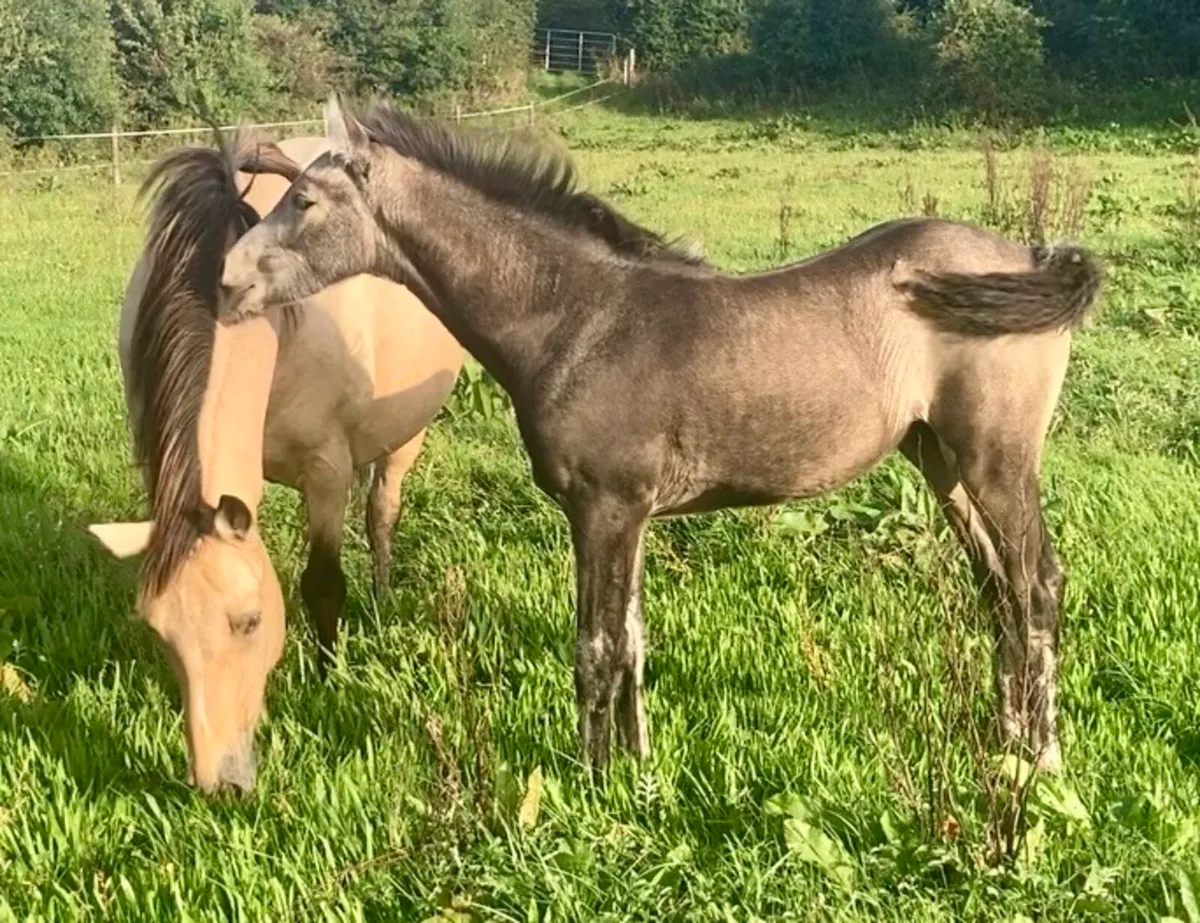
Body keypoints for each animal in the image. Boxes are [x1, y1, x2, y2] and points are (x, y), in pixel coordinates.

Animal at [87, 131, 464, 794]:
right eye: (159, 630)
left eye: (250, 621)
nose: (221, 783)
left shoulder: (327, 471)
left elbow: (322, 583)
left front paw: (327, 677)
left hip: (408, 433)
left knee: (383, 511)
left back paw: (382, 594)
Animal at [219, 95, 1103, 777]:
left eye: (305, 202)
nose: (226, 282)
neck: (576, 317)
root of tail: (1029, 254)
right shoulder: (635, 511)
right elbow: (635, 641)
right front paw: (640, 770)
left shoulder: (602, 506)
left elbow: (595, 645)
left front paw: (591, 780)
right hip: (939, 460)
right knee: (998, 589)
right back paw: (1005, 739)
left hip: (998, 460)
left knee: (1039, 584)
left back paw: (1045, 757)